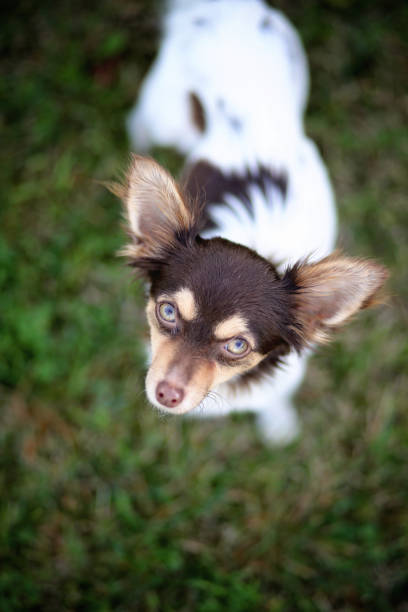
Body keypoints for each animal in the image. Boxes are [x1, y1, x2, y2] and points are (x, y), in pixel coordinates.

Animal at [117, 0, 386, 442]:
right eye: (167, 312)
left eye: (238, 346)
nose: (166, 394)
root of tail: (226, 8)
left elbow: (275, 401)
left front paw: (278, 425)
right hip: (166, 113)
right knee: (139, 119)